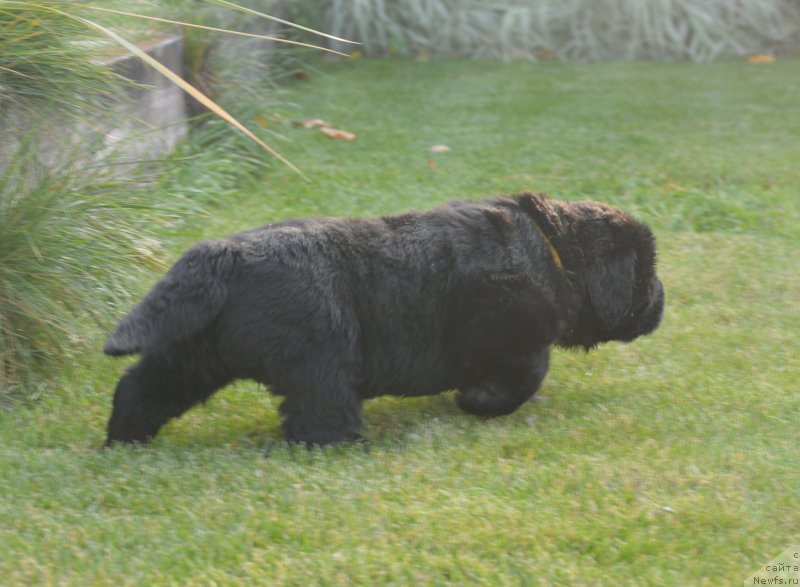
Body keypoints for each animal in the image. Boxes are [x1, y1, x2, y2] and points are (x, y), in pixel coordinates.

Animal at [104, 193, 664, 446]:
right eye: (646, 270)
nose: (663, 300)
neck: (552, 249)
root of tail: (225, 253)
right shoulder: (511, 336)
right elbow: (528, 375)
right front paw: (478, 403)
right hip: (322, 350)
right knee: (319, 405)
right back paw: (343, 445)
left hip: (199, 347)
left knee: (147, 384)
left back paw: (123, 439)